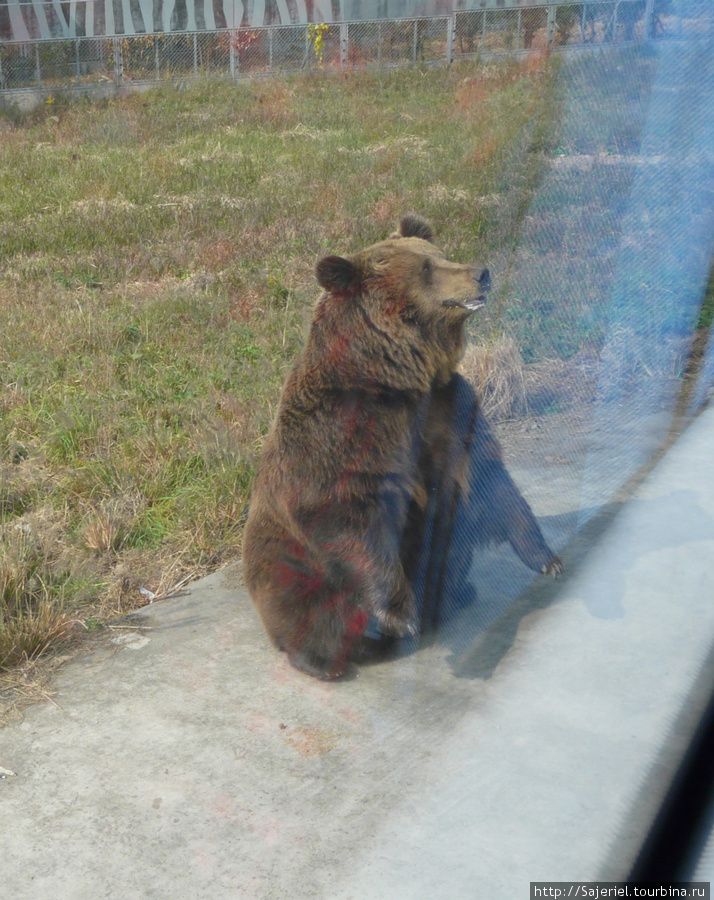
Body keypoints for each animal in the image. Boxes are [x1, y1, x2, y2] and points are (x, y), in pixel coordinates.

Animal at [241, 218, 490, 680]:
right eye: (427, 268)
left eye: (441, 254)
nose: (481, 273)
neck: (391, 376)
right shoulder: (341, 433)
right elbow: (343, 514)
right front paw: (401, 612)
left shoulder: (438, 405)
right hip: (288, 563)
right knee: (308, 605)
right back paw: (323, 659)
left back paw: (458, 593)